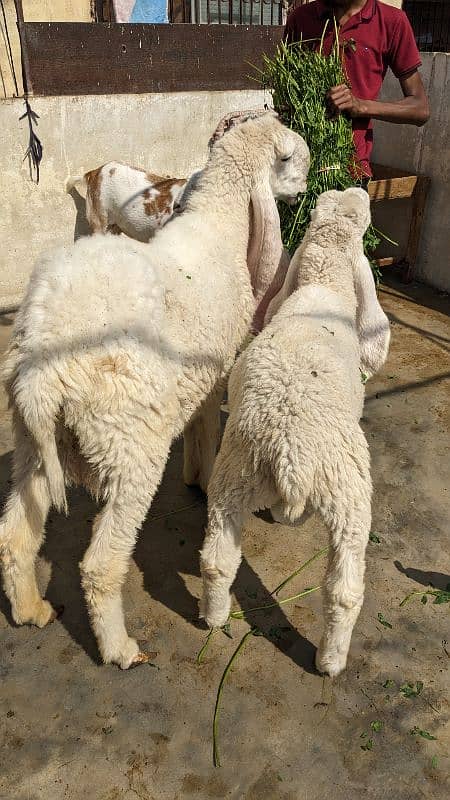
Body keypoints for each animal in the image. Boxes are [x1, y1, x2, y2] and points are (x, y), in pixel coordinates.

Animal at [0, 115, 310, 672]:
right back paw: (120, 650)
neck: (220, 221)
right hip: (127, 443)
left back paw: (32, 611)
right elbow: (206, 428)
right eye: (289, 157)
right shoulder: (214, 367)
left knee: (14, 535)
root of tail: (41, 369)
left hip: (36, 441)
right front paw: (203, 479)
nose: (313, 171)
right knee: (100, 565)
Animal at [200, 189, 390, 680]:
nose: (356, 192)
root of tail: (292, 454)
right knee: (343, 591)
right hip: (349, 494)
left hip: (234, 473)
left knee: (217, 560)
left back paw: (213, 618)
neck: (324, 285)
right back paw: (331, 661)